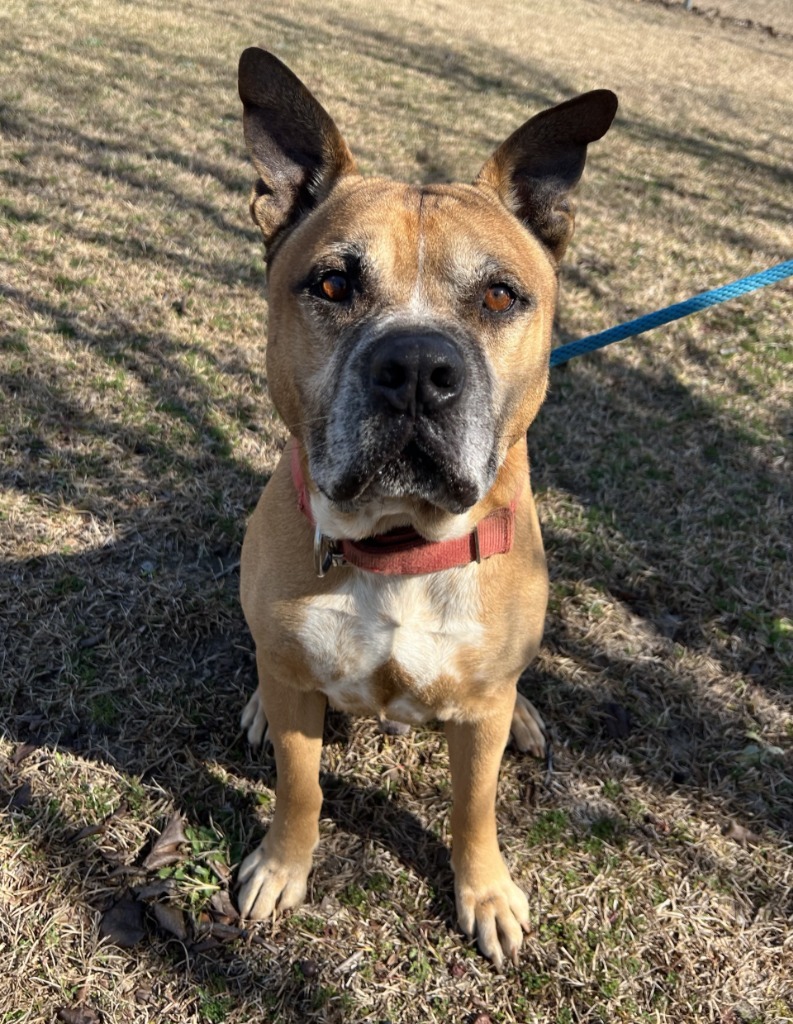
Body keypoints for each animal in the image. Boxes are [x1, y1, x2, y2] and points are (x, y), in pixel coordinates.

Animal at [232, 48, 618, 970]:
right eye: (332, 283)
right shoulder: (300, 700)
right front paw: (282, 865)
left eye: (499, 297)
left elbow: (472, 809)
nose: (414, 367)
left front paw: (486, 894)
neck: (398, 543)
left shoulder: (475, 722)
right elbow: (300, 789)